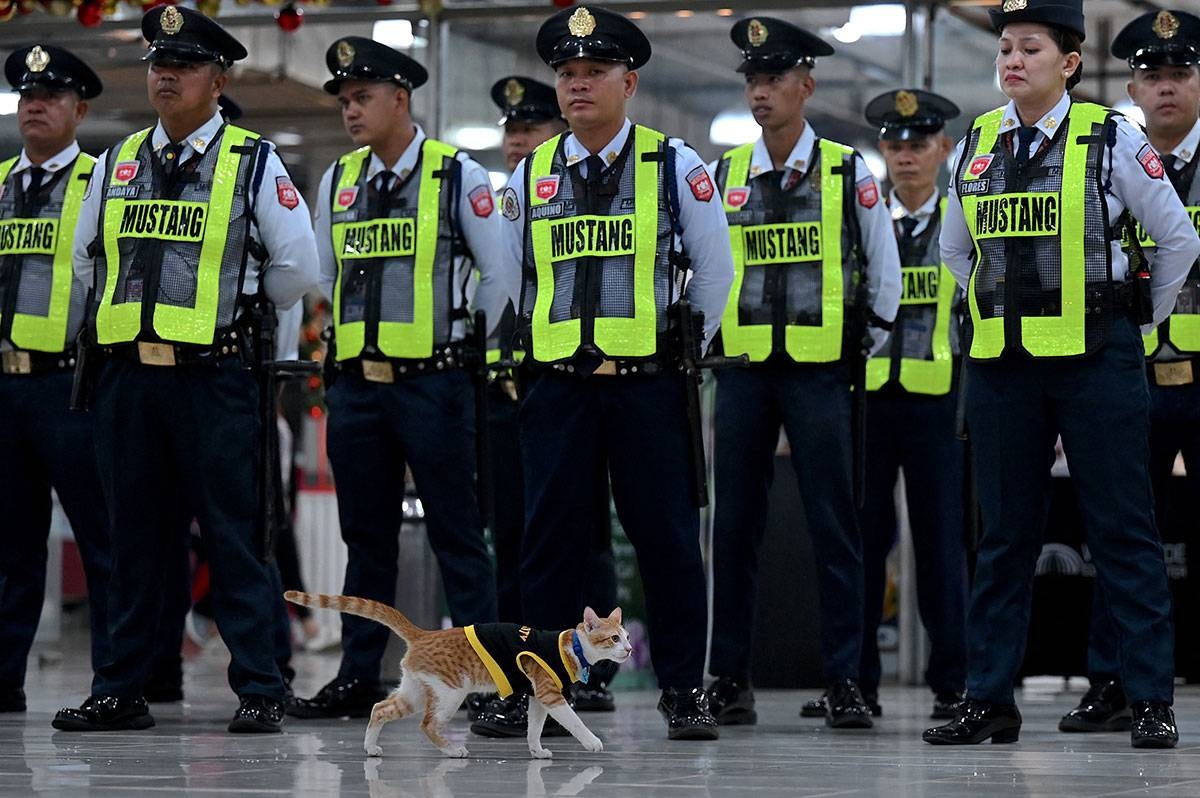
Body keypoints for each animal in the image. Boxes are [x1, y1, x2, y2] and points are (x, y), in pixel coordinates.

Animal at [285, 590, 633, 758]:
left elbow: (534, 728)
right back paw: (453, 751)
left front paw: (536, 751)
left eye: (627, 636)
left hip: (413, 691)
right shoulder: (549, 693)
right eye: (614, 639)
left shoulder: (537, 697)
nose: (630, 649)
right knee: (426, 725)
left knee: (379, 708)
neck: (572, 646)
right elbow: (574, 721)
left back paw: (370, 748)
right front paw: (592, 742)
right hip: (449, 693)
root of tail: (424, 634)